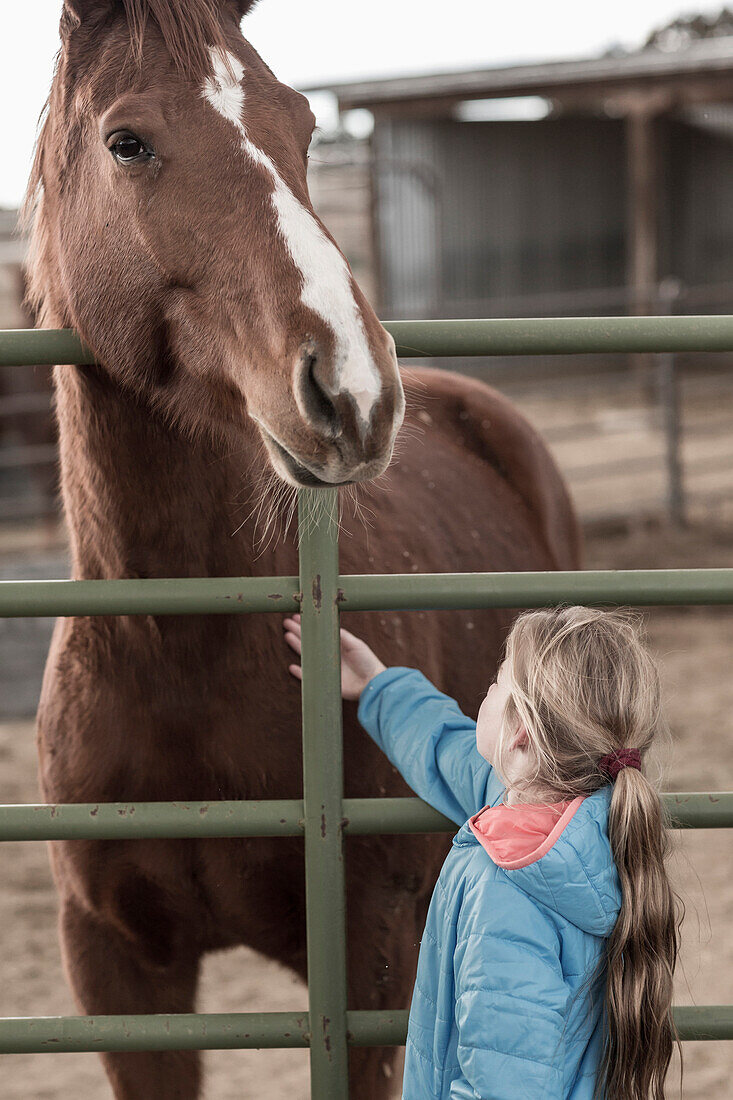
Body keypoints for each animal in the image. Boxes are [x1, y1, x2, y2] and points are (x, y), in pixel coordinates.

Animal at [24, 4, 576, 1095]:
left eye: (306, 130)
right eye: (126, 141)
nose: (354, 388)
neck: (179, 650)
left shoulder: (364, 961)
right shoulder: (118, 974)